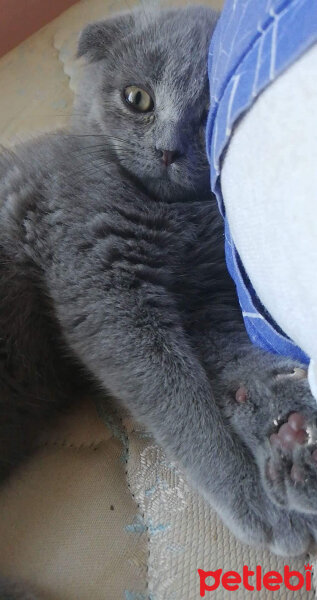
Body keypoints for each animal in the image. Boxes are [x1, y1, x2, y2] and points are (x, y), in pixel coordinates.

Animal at [1, 3, 316, 596]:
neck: (175, 220)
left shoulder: (211, 297)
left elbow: (245, 364)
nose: (168, 149)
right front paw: (259, 505)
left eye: (208, 113)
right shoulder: (105, 288)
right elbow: (181, 403)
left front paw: (295, 437)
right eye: (137, 98)